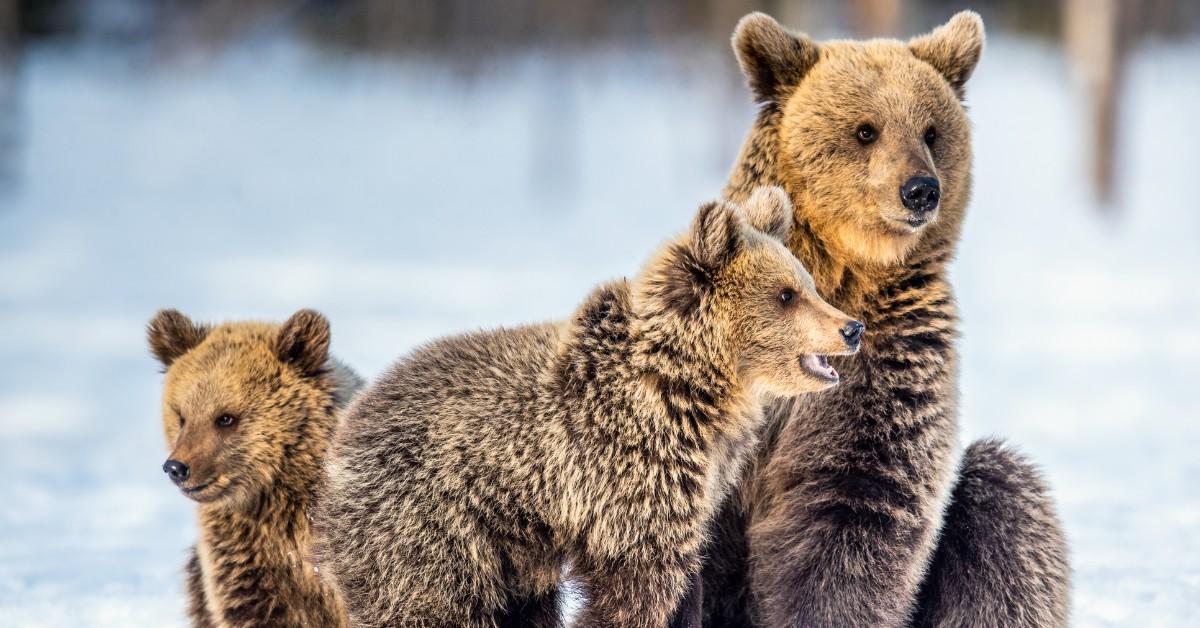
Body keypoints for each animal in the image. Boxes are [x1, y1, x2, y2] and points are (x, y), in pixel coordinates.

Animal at [314, 188, 864, 628]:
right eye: (785, 294)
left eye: (806, 282)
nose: (851, 328)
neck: (695, 393)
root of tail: (344, 436)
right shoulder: (623, 470)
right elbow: (636, 585)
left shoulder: (700, 484)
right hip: (428, 525)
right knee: (429, 604)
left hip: (506, 555)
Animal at [691, 9, 1075, 628]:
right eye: (865, 130)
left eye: (931, 131)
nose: (920, 190)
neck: (843, 268)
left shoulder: (888, 355)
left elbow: (852, 505)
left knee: (1006, 503)